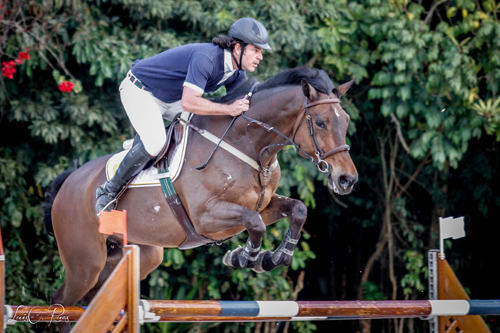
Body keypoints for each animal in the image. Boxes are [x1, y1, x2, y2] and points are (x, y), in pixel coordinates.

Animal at [42, 66, 356, 330]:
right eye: (320, 122)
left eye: (346, 121)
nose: (347, 179)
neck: (249, 145)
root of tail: (69, 181)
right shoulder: (207, 217)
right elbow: (255, 223)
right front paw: (245, 257)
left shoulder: (263, 205)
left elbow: (298, 209)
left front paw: (274, 256)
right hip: (86, 262)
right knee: (61, 301)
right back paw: (104, 197)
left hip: (136, 256)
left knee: (93, 299)